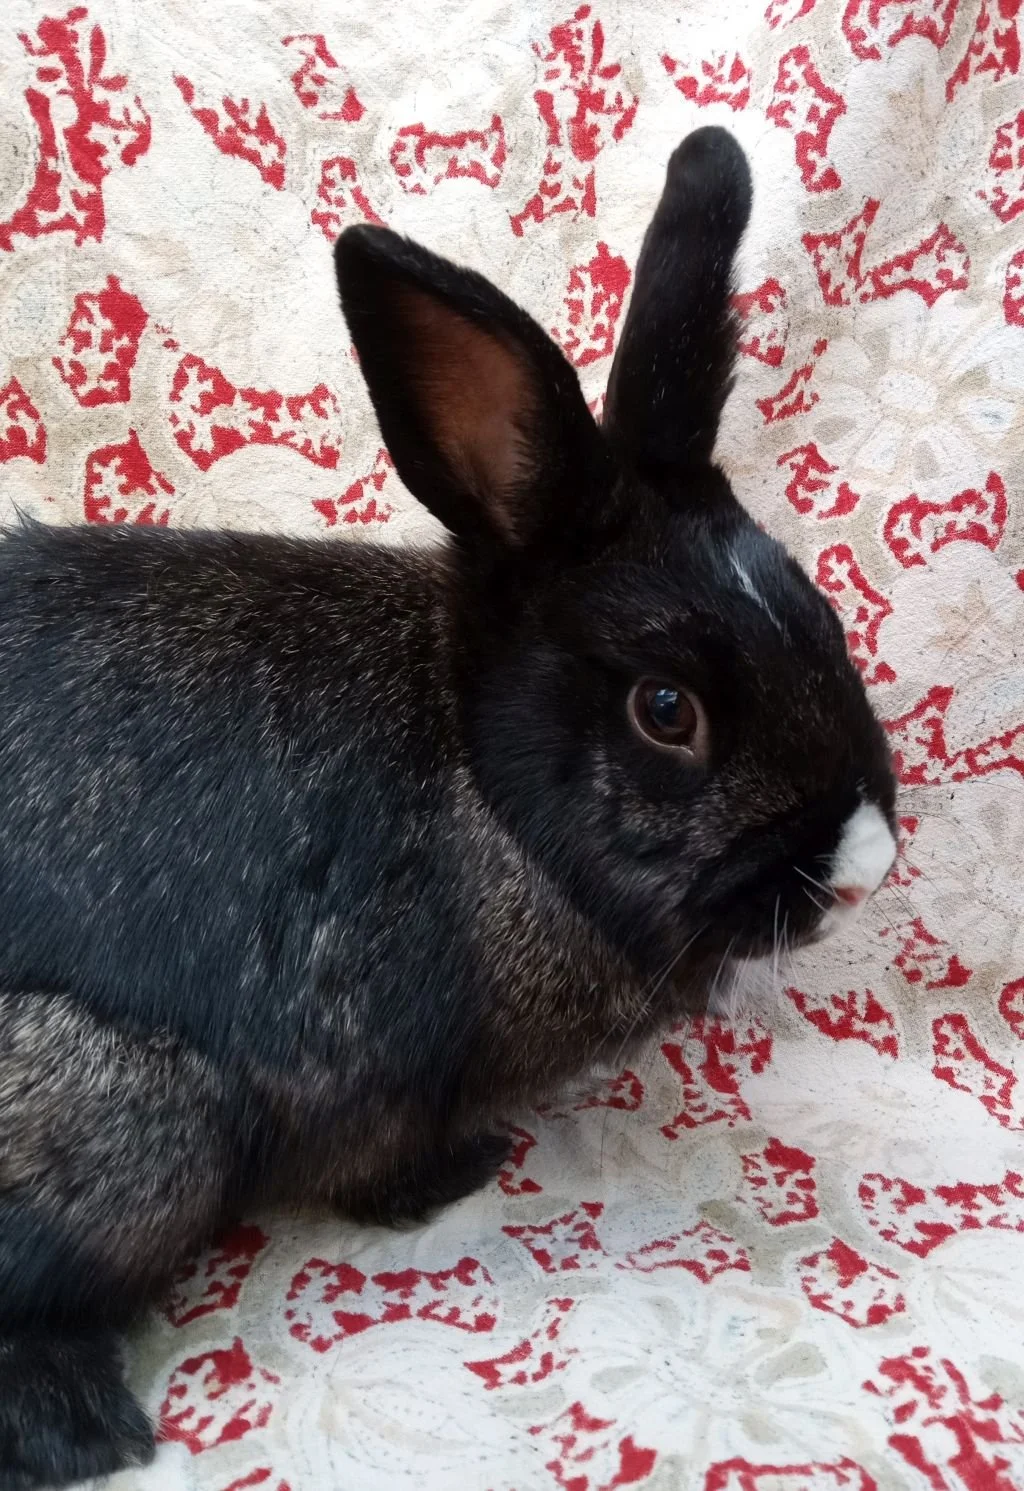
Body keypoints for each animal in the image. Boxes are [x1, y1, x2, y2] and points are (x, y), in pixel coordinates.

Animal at [0, 126, 897, 1488]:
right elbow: (374, 1161)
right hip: (126, 1121)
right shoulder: (363, 1073)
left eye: (826, 619)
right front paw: (456, 1176)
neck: (482, 778)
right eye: (666, 710)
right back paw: (78, 1426)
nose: (865, 862)